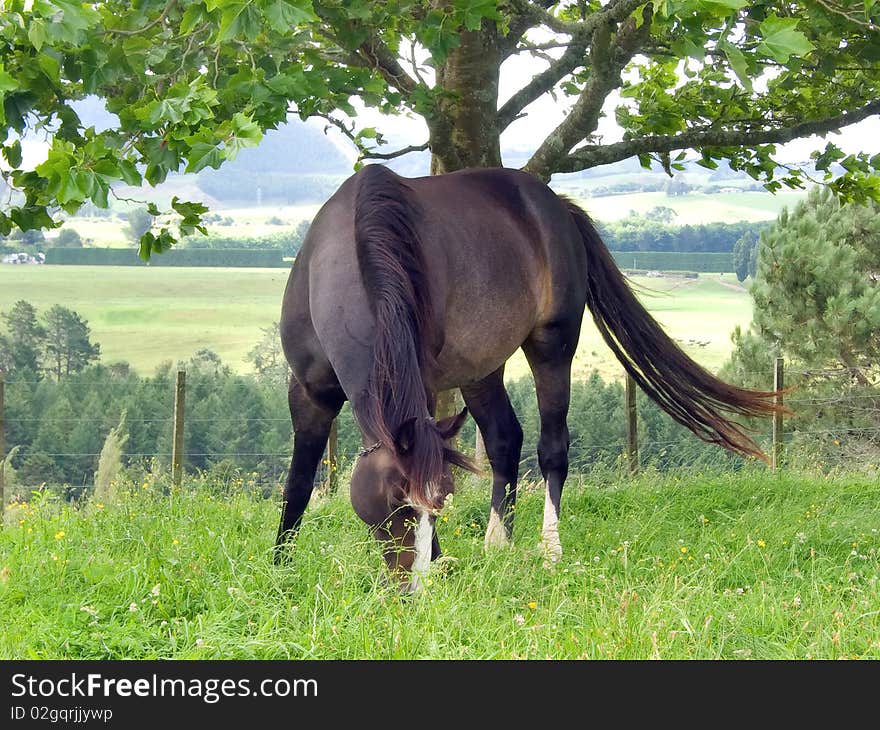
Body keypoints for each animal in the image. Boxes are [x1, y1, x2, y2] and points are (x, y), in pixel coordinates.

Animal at [274, 165, 776, 584]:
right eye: (396, 505)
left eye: (438, 504)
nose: (412, 588)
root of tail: (555, 205)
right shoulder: (308, 394)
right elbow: (298, 482)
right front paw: (280, 566)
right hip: (481, 369)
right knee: (503, 439)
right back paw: (498, 543)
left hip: (553, 346)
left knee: (552, 446)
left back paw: (548, 549)